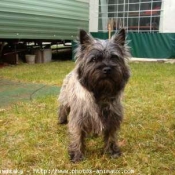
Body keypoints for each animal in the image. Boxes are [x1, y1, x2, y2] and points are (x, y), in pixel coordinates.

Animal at [57, 29, 130, 163]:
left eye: (114, 57)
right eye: (94, 59)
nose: (107, 69)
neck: (101, 93)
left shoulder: (112, 119)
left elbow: (111, 136)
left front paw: (112, 152)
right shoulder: (78, 119)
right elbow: (77, 136)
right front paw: (77, 155)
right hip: (65, 101)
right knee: (62, 109)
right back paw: (61, 120)